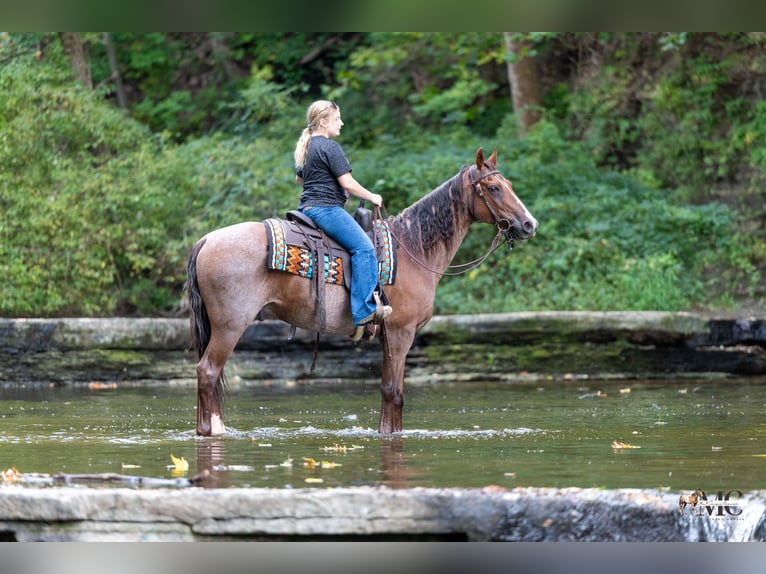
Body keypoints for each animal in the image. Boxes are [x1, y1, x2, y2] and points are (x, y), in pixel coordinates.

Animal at [186, 147, 537, 436]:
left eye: (508, 184)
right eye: (494, 188)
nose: (530, 224)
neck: (413, 248)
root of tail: (206, 240)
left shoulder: (386, 337)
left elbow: (387, 392)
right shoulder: (400, 333)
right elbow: (394, 393)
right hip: (230, 325)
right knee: (208, 371)